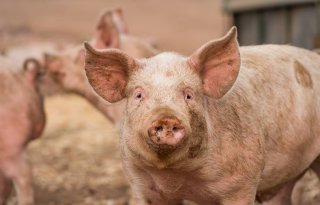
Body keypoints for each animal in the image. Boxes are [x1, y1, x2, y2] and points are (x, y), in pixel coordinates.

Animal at [83, 27, 320, 205]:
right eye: (139, 95)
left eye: (189, 95)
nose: (166, 118)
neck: (176, 175)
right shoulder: (141, 184)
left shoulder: (243, 183)